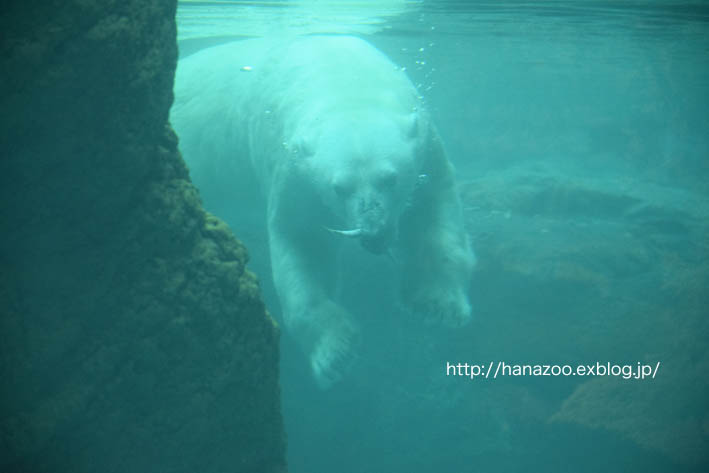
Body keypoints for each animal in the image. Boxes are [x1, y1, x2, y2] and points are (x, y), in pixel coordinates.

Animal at [169, 37, 472, 390]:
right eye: (340, 187)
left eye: (390, 178)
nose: (373, 234)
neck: (343, 83)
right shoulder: (291, 165)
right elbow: (302, 240)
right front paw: (336, 353)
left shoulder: (424, 139)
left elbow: (433, 207)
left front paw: (437, 305)